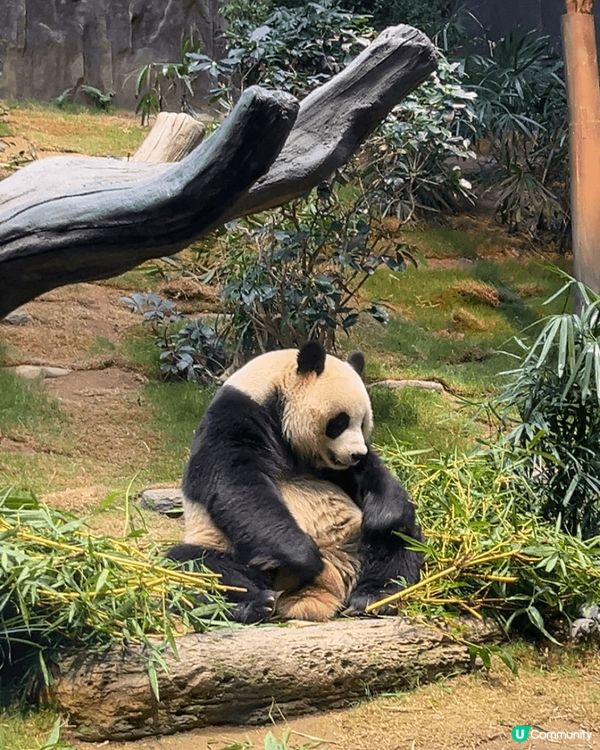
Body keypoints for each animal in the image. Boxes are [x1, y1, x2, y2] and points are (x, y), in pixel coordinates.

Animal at [167, 341, 423, 623]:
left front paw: (382, 515)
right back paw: (255, 604)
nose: (356, 453)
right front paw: (306, 559)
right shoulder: (233, 419)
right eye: (340, 421)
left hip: (356, 541)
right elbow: (236, 485)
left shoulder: (338, 467)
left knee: (401, 543)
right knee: (197, 566)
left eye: (364, 423)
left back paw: (373, 598)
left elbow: (373, 477)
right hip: (224, 546)